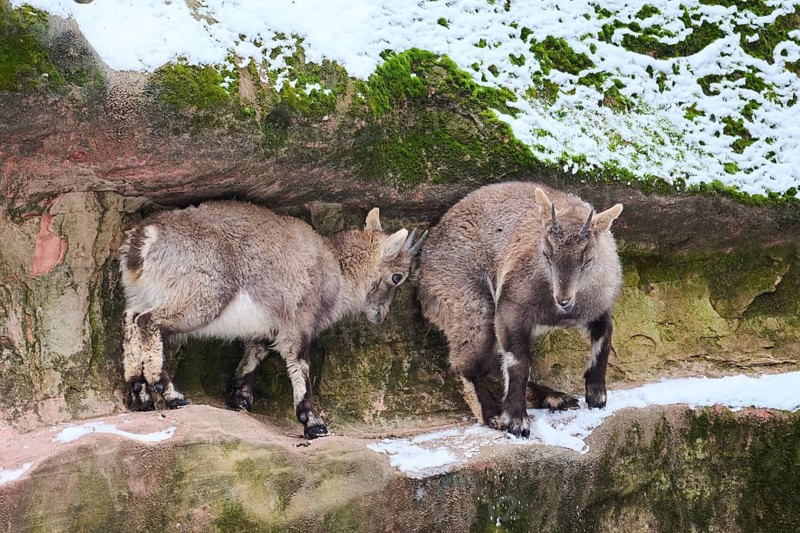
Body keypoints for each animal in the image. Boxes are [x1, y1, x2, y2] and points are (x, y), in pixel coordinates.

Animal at [119, 201, 426, 438]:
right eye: (397, 277)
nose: (380, 315)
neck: (336, 270)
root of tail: (145, 238)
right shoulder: (298, 323)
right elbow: (300, 366)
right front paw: (314, 423)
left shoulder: (267, 327)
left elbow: (253, 356)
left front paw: (240, 399)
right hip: (199, 298)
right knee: (148, 322)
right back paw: (172, 395)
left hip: (142, 295)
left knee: (131, 320)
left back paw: (140, 396)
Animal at [417, 182, 623, 438]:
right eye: (546, 254)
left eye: (587, 260)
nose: (563, 300)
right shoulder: (510, 310)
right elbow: (519, 363)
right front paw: (517, 421)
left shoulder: (595, 309)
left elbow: (605, 334)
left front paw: (596, 396)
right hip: (470, 306)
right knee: (466, 367)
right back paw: (494, 414)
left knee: (492, 365)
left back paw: (554, 397)